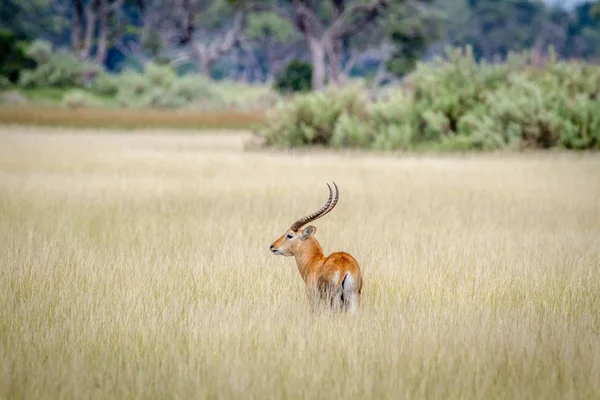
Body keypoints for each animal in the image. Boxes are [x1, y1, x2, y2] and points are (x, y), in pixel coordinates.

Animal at [270, 182, 364, 312]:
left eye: (289, 235)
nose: (272, 246)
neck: (313, 262)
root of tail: (344, 268)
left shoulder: (313, 301)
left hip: (334, 301)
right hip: (353, 301)